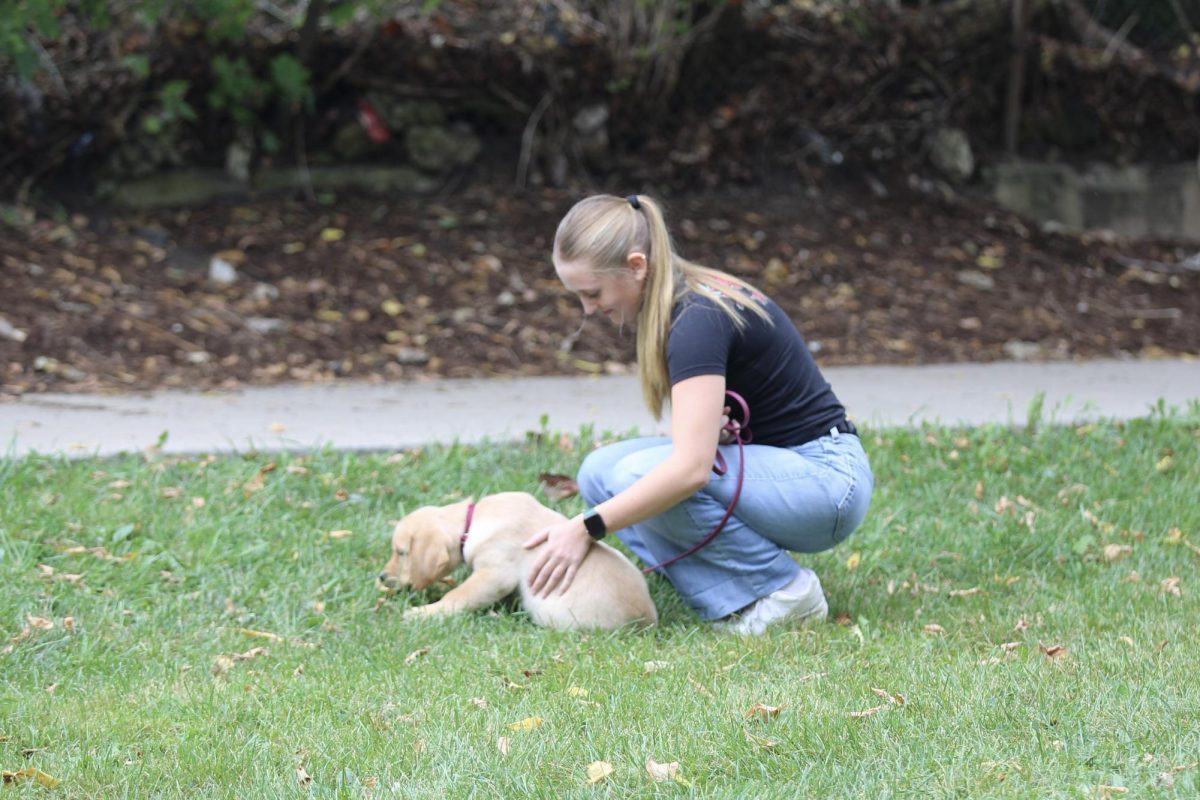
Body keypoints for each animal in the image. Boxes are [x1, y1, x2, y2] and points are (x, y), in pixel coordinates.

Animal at [379, 491, 657, 628]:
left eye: (401, 552)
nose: (382, 576)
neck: (471, 522)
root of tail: (648, 620)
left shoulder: (494, 574)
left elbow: (458, 595)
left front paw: (424, 612)